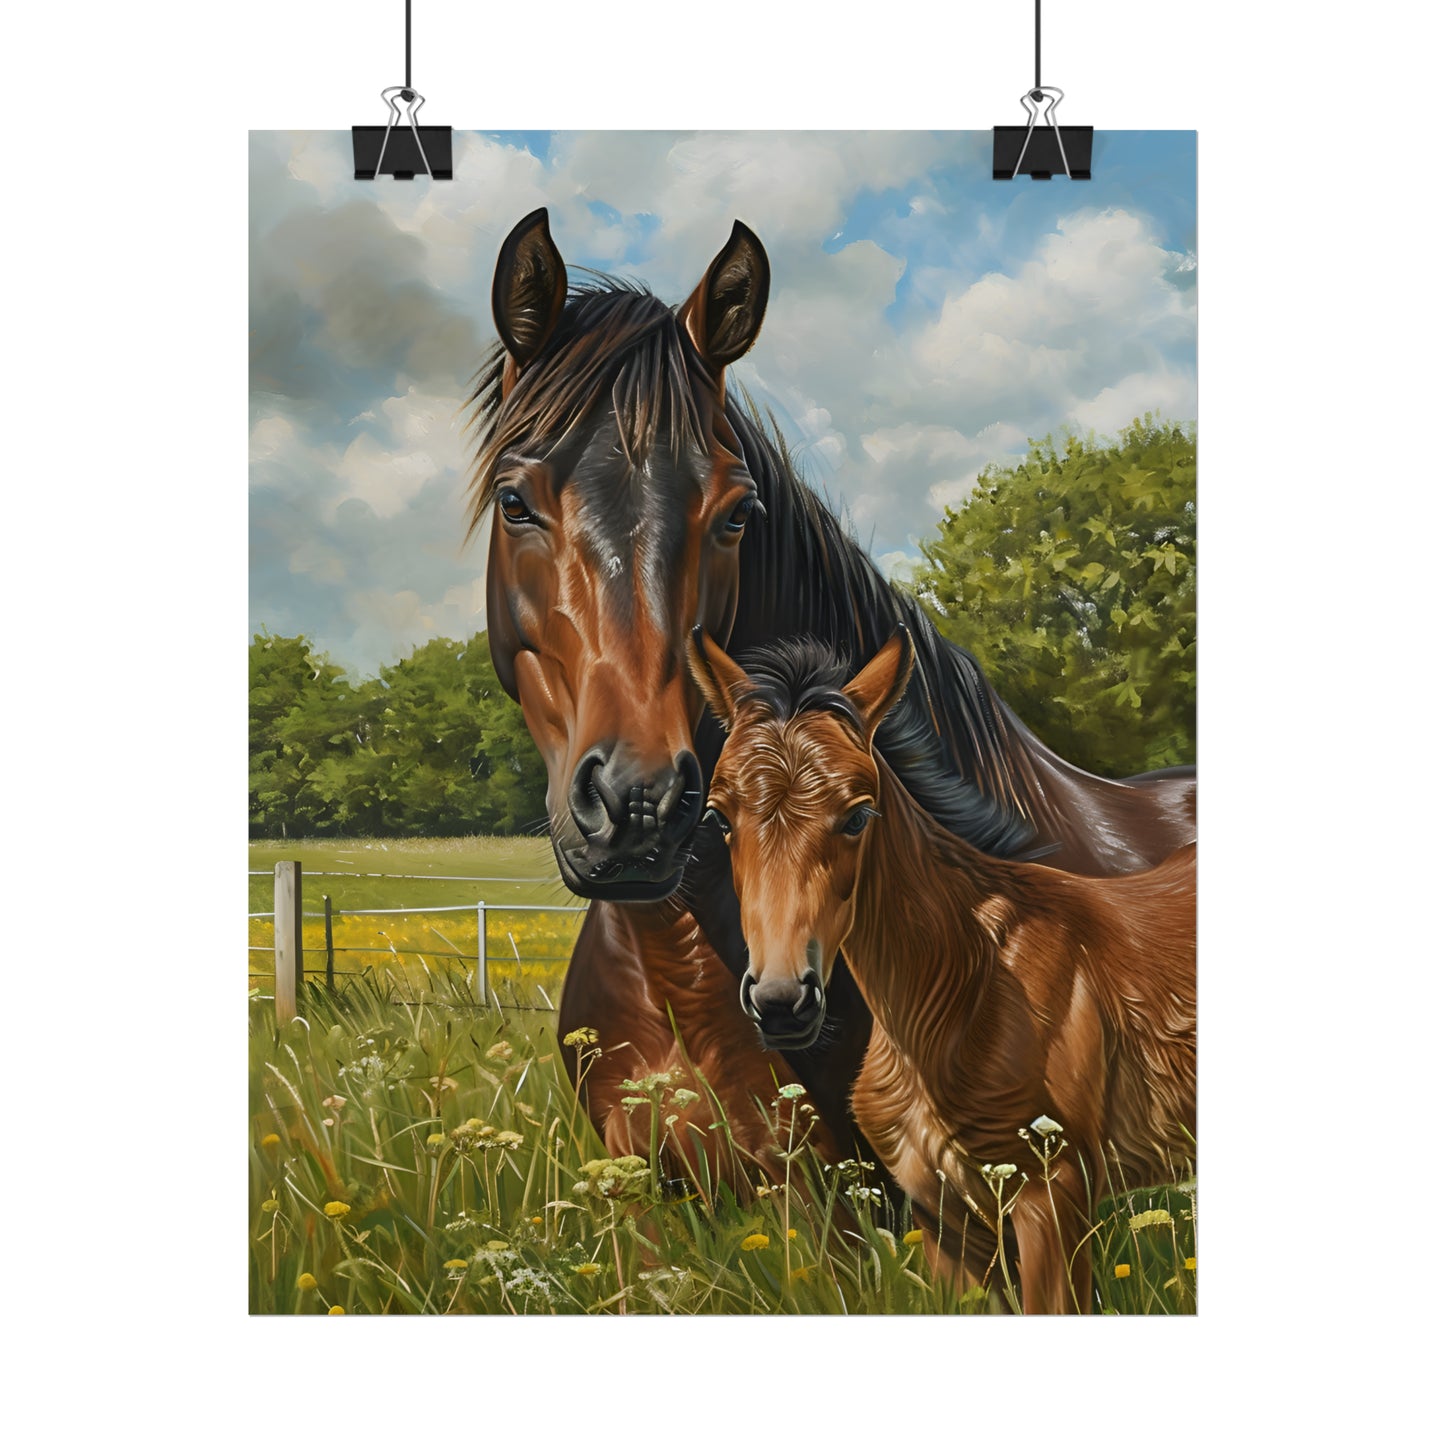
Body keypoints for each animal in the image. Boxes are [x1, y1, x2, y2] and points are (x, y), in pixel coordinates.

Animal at [688, 624, 1197, 1313]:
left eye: (858, 814)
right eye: (718, 815)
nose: (781, 1002)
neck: (970, 988)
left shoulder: (1053, 1200)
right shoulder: (943, 1220)